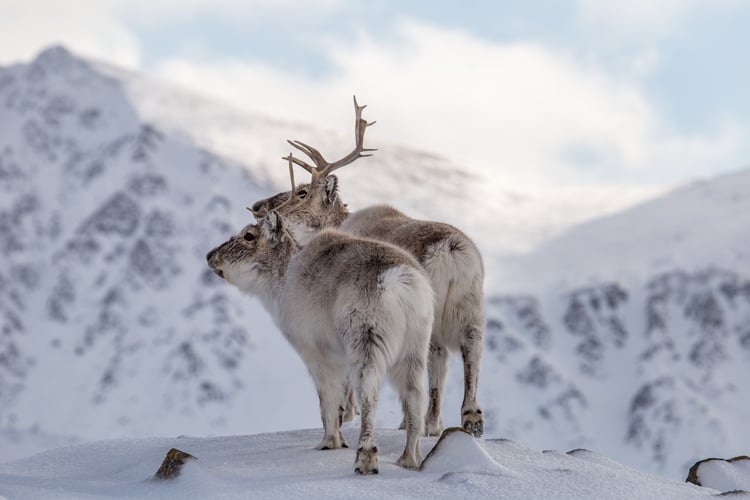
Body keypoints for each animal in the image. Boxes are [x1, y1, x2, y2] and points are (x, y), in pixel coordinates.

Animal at [206, 168, 433, 474]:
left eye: (249, 236)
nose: (210, 256)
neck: (282, 279)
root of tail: (400, 280)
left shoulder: (317, 352)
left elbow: (327, 399)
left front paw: (330, 442)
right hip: (415, 347)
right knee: (415, 396)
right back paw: (409, 459)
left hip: (366, 341)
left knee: (369, 394)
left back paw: (366, 457)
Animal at [249, 97, 485, 438]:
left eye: (302, 192)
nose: (258, 207)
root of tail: (451, 252)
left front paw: (346, 413)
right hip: (470, 306)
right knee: (471, 351)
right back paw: (469, 418)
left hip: (428, 312)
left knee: (436, 357)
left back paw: (428, 423)